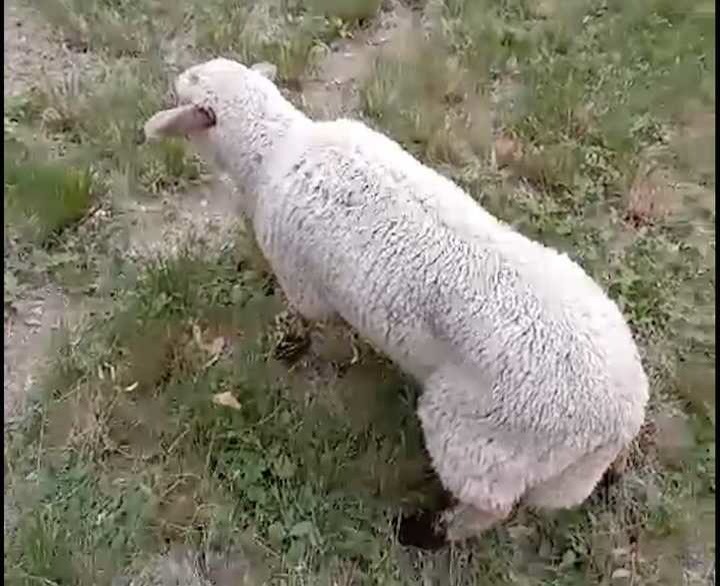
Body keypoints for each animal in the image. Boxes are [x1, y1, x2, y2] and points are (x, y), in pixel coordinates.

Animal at [143, 57, 649, 542]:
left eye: (191, 81)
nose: (173, 78)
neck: (276, 148)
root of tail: (621, 414)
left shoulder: (302, 279)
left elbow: (309, 321)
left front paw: (292, 348)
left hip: (480, 442)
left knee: (488, 507)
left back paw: (427, 532)